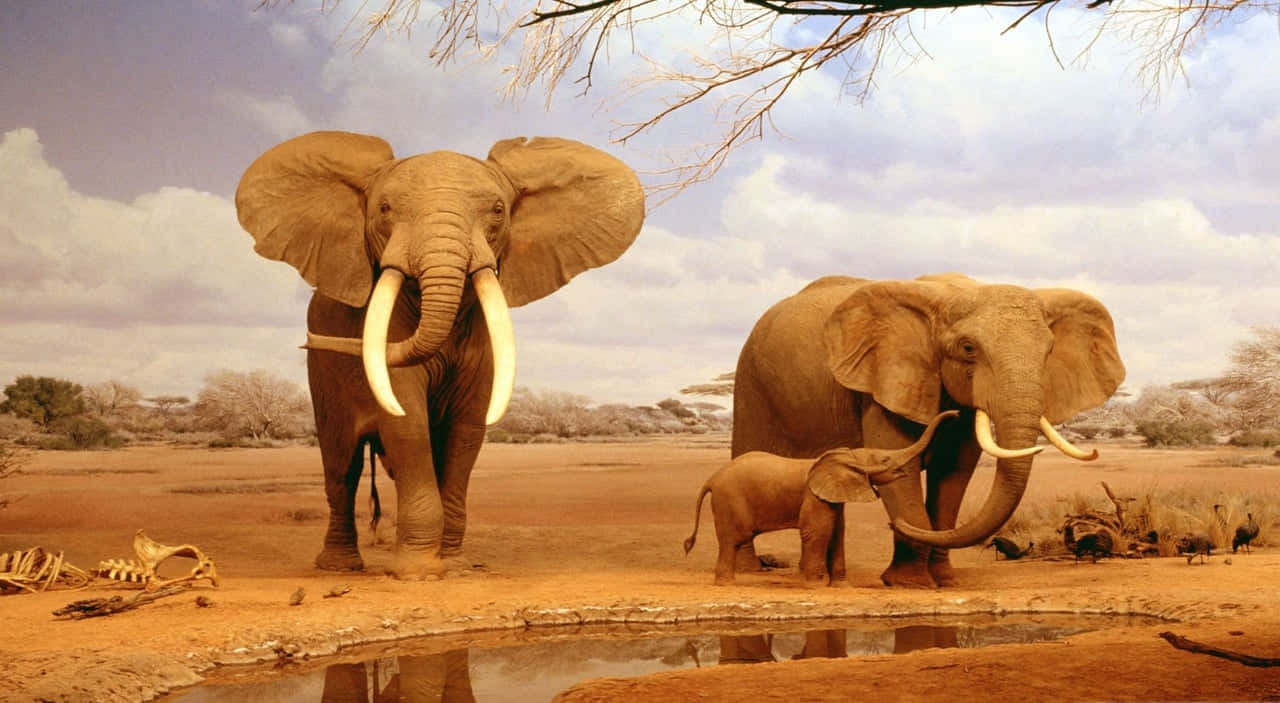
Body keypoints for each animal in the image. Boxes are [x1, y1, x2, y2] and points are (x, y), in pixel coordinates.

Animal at [234, 130, 644, 578]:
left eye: (498, 210)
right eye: (384, 209)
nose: (307, 340)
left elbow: (467, 430)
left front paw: (455, 567)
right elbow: (406, 421)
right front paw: (419, 573)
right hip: (323, 375)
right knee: (342, 464)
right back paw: (339, 568)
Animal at [684, 410, 958, 585]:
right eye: (884, 460)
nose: (955, 414)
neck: (847, 456)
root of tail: (711, 479)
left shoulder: (833, 497)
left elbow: (837, 533)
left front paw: (841, 586)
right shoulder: (813, 496)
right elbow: (818, 532)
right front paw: (816, 585)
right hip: (729, 500)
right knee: (733, 539)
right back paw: (726, 584)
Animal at [732, 273, 1124, 588]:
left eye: (1049, 350)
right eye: (968, 348)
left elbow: (953, 475)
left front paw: (944, 581)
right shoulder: (884, 384)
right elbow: (899, 466)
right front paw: (911, 584)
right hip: (751, 382)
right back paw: (752, 569)